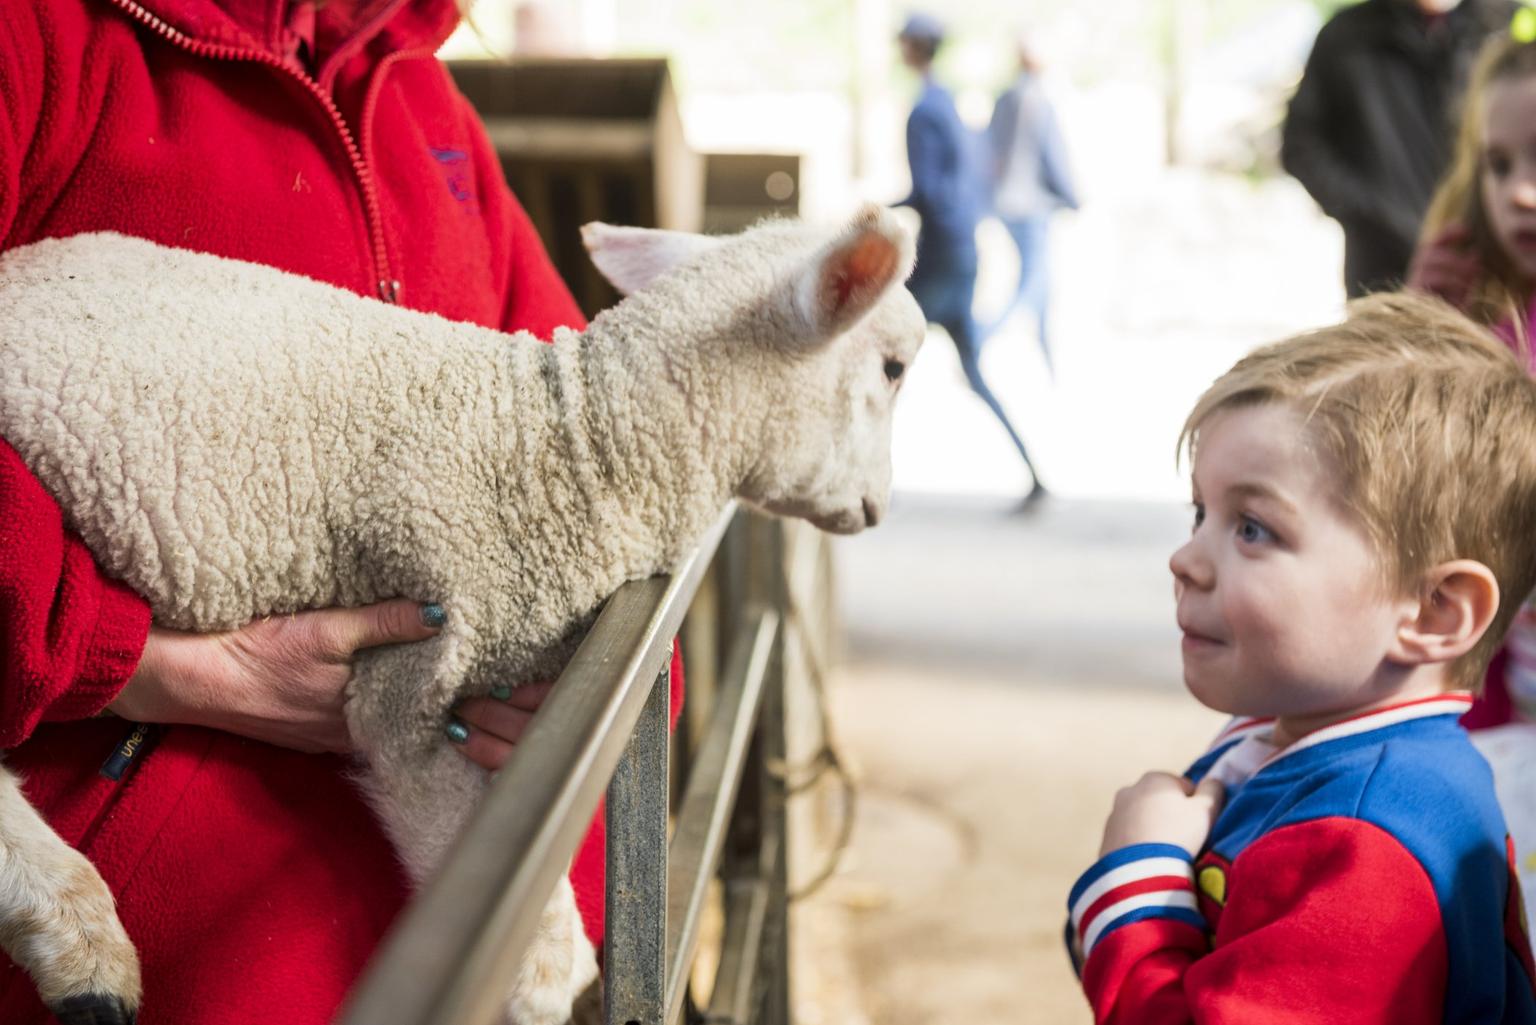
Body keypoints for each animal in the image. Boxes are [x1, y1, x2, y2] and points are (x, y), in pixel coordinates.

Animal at [0, 203, 924, 1025]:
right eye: (892, 368)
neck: (579, 445)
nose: (878, 508)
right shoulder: (409, 681)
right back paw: (81, 944)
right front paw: (545, 980)